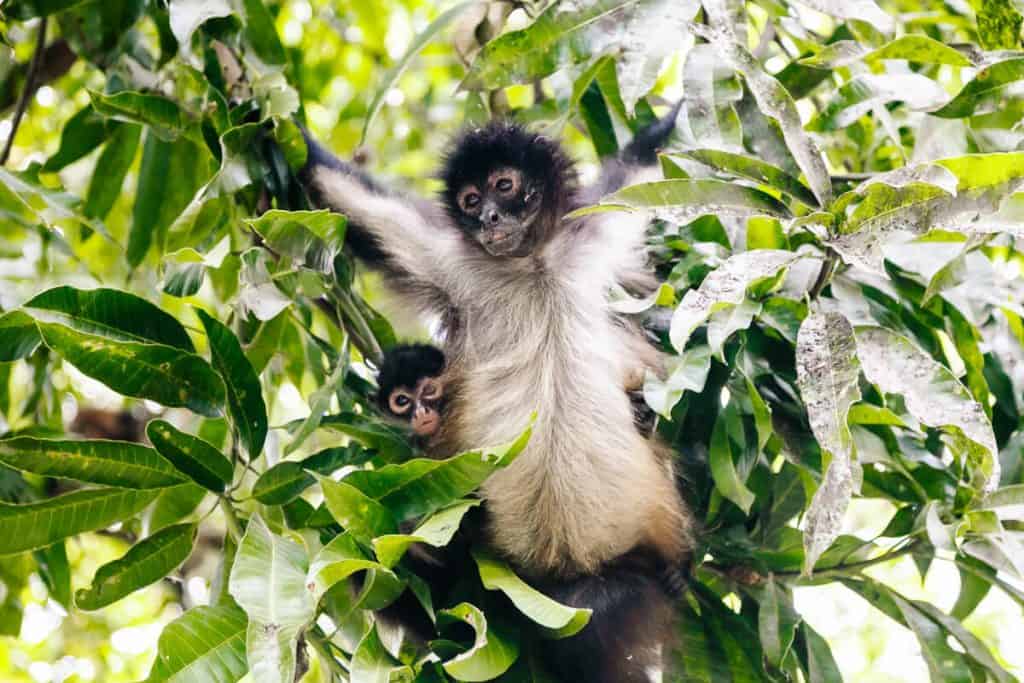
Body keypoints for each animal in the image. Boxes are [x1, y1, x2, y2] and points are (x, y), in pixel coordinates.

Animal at [299, 102, 692, 683]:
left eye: (503, 186)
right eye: (469, 200)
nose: (487, 218)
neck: (533, 264)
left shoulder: (594, 230)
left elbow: (646, 163)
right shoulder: (450, 260)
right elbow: (344, 195)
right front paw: (252, 109)